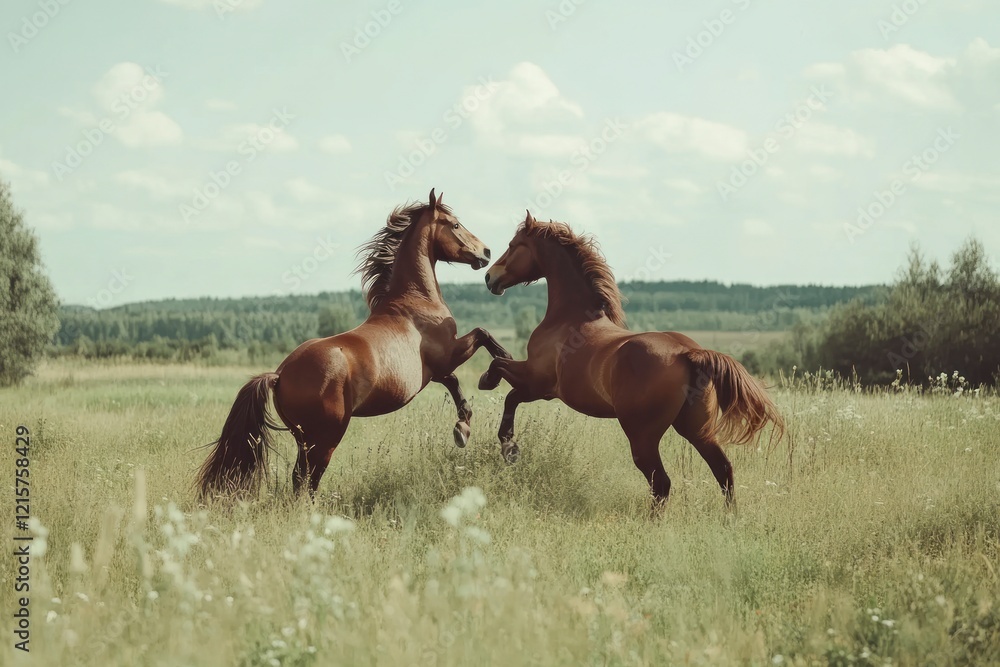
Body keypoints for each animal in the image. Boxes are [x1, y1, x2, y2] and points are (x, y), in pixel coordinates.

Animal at [198, 189, 511, 498]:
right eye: (455, 225)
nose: (485, 252)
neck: (414, 302)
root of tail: (280, 375)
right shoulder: (448, 354)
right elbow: (483, 335)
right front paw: (494, 374)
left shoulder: (436, 371)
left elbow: (456, 384)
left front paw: (463, 428)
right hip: (327, 437)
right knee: (308, 479)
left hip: (303, 438)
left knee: (300, 478)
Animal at [479, 212, 785, 508]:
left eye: (513, 245)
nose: (489, 277)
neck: (569, 319)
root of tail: (688, 354)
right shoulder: (538, 387)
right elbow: (500, 361)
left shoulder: (538, 383)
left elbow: (503, 377)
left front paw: (507, 442)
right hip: (697, 430)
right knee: (723, 470)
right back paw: (729, 517)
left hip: (642, 436)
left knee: (661, 483)